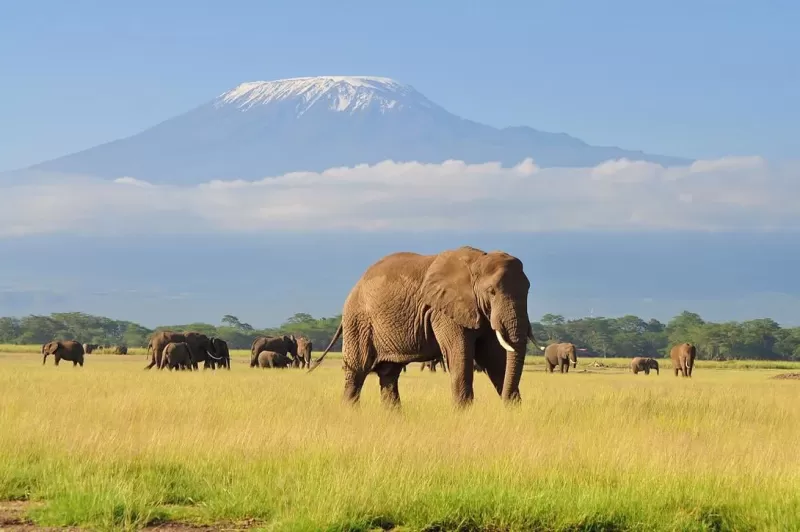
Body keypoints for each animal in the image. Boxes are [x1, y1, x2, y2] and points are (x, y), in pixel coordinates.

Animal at [308, 246, 546, 408]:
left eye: (528, 290)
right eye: (492, 292)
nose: (505, 403)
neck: (478, 261)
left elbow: (495, 359)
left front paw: (513, 410)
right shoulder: (444, 311)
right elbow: (460, 356)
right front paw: (463, 414)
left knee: (388, 375)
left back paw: (395, 418)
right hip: (359, 321)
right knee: (357, 372)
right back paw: (351, 413)